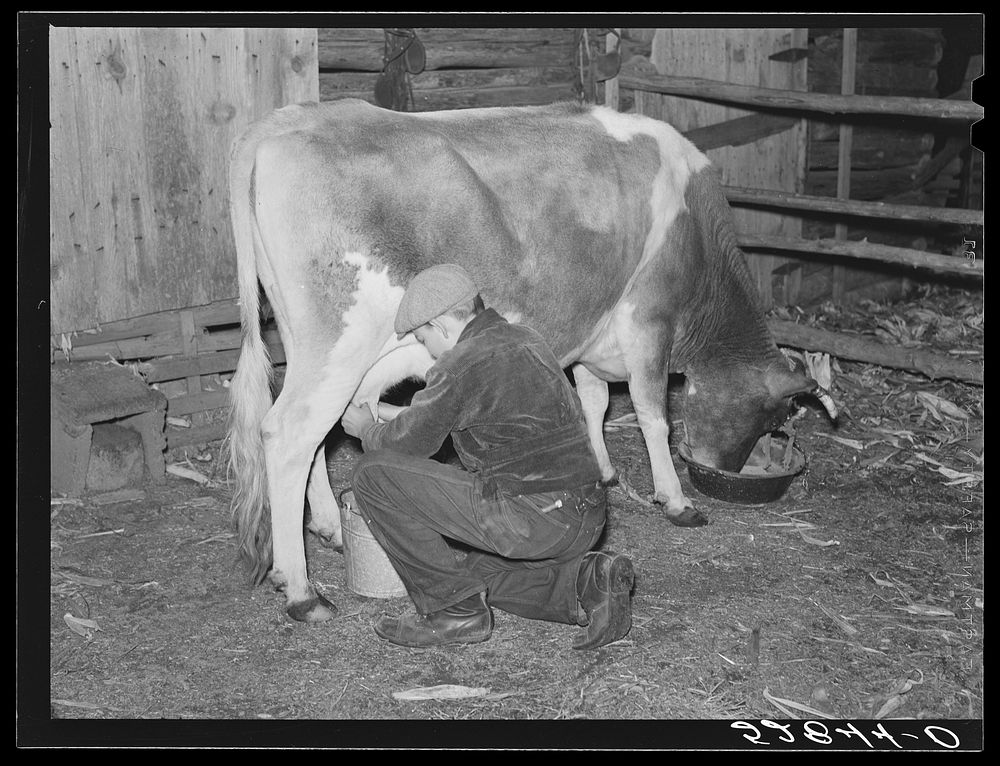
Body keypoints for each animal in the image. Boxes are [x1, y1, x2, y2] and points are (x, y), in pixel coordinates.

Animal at [227, 97, 836, 624]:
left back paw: (328, 528)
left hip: (307, 342)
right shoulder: (651, 321)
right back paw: (302, 591)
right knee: (289, 432)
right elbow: (652, 414)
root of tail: (290, 118)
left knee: (315, 437)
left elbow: (593, 401)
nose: (725, 468)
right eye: (771, 416)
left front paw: (604, 470)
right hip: (338, 342)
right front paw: (677, 499)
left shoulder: (594, 331)